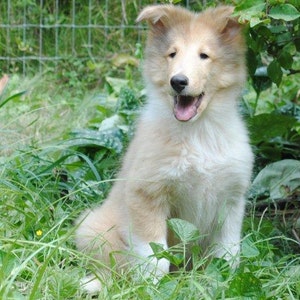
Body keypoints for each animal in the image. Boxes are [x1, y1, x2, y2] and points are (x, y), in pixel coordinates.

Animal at [75, 4, 253, 292]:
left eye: (204, 55)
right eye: (172, 54)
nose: (178, 81)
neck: (198, 134)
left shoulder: (231, 200)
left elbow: (227, 252)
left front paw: (224, 281)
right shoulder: (147, 194)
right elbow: (155, 255)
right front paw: (152, 288)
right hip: (93, 228)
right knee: (115, 270)